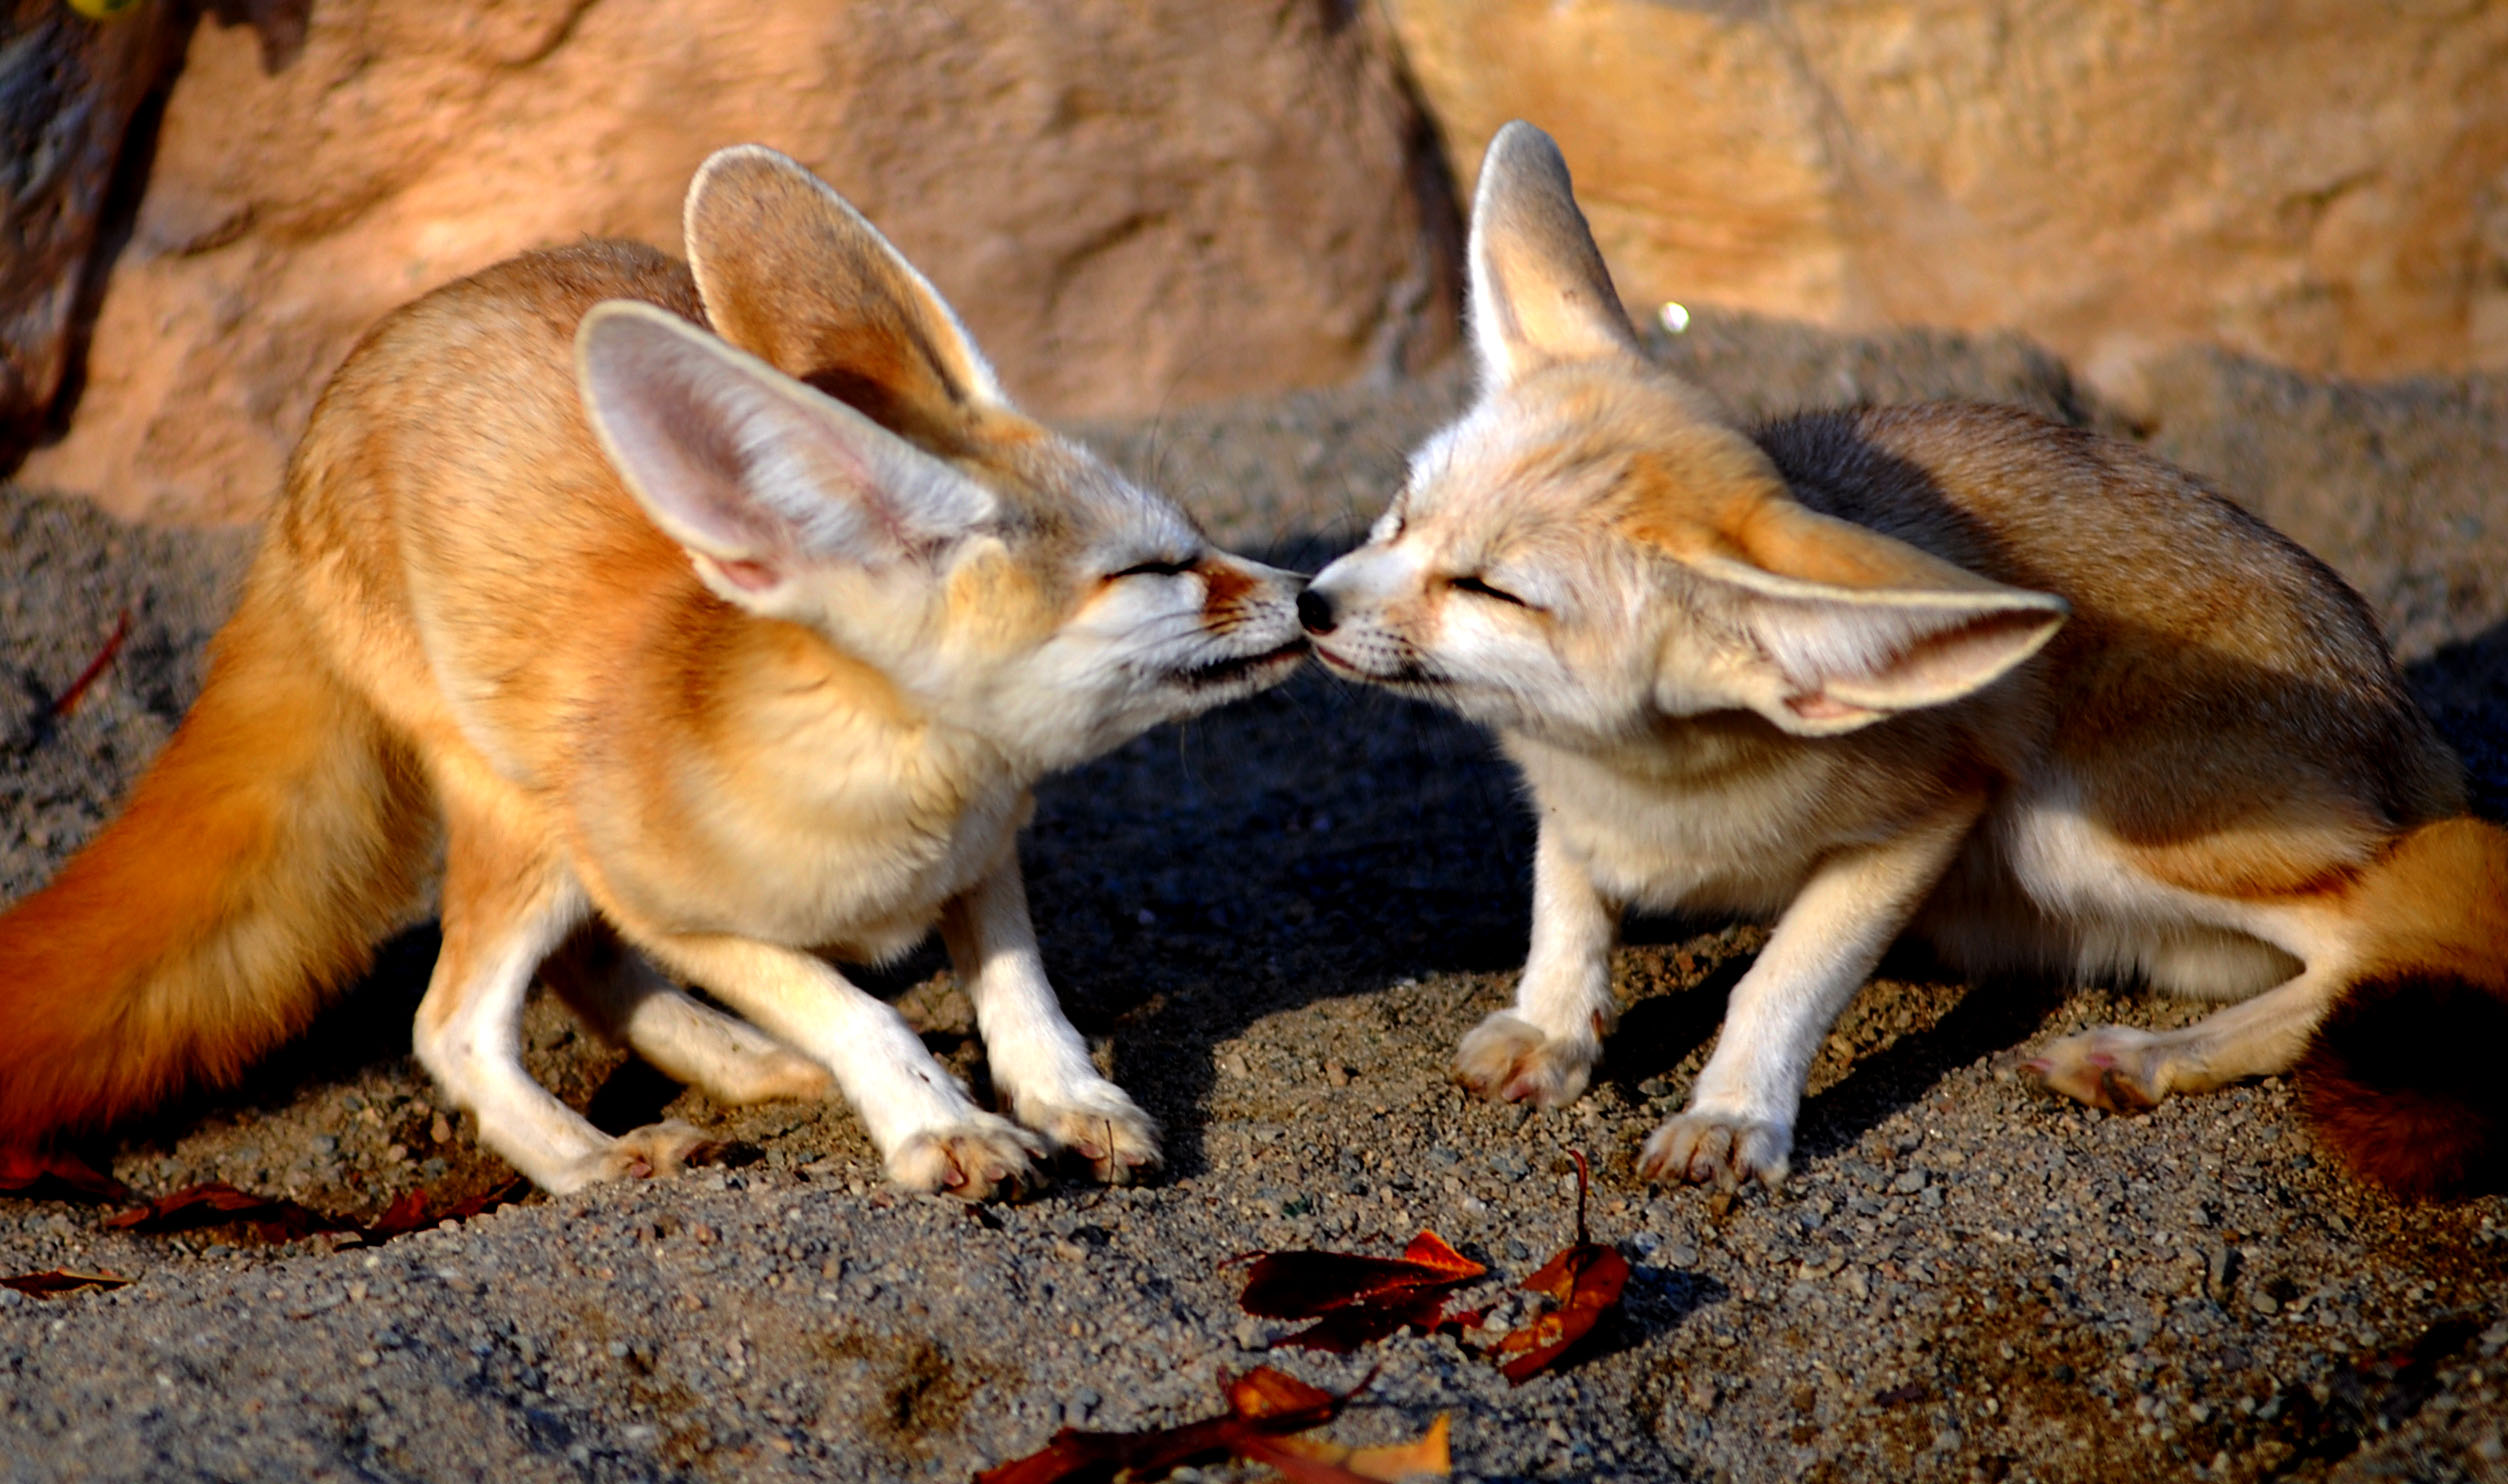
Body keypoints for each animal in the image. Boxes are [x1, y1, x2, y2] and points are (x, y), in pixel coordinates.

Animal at [0, 145, 1308, 1198]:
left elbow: (1022, 992)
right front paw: (939, 1121)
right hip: (528, 821)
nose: (1309, 595)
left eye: (1193, 535)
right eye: (1153, 570)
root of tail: (317, 431)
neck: (902, 785)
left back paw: (743, 1067)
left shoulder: (984, 855)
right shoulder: (664, 896)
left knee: (576, 975)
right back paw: (590, 1158)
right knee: (453, 1021)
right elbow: (854, 1004)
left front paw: (1067, 1096)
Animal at [1300, 121, 2507, 1199]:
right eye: (1399, 517)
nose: (1310, 604)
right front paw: (1553, 1029)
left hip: (2074, 829)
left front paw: (1732, 1113)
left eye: (1494, 590)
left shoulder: (1928, 816)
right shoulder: (1571, 804)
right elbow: (1565, 905)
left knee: (2387, 941)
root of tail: (2411, 724)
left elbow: (1780, 980)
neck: (1651, 782)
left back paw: (2143, 1055)